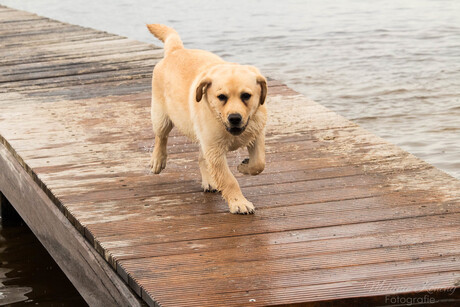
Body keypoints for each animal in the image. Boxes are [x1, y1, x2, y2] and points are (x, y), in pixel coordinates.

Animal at [147, 24, 268, 214]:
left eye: (246, 96)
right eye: (221, 97)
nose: (234, 118)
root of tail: (176, 50)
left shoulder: (256, 135)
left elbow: (259, 164)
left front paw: (244, 166)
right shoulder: (215, 150)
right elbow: (228, 180)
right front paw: (238, 202)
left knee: (201, 158)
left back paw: (210, 181)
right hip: (161, 115)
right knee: (161, 137)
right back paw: (158, 160)